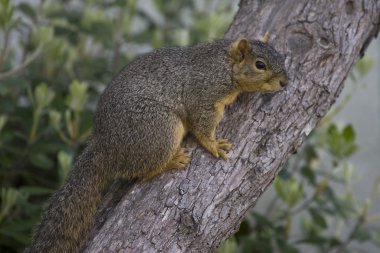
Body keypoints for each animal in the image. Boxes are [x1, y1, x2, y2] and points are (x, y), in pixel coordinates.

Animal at [26, 34, 288, 252]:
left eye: (281, 56)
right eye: (260, 65)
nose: (285, 83)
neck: (224, 64)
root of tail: (105, 145)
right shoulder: (203, 95)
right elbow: (202, 125)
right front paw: (213, 144)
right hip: (159, 129)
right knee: (143, 171)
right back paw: (171, 162)